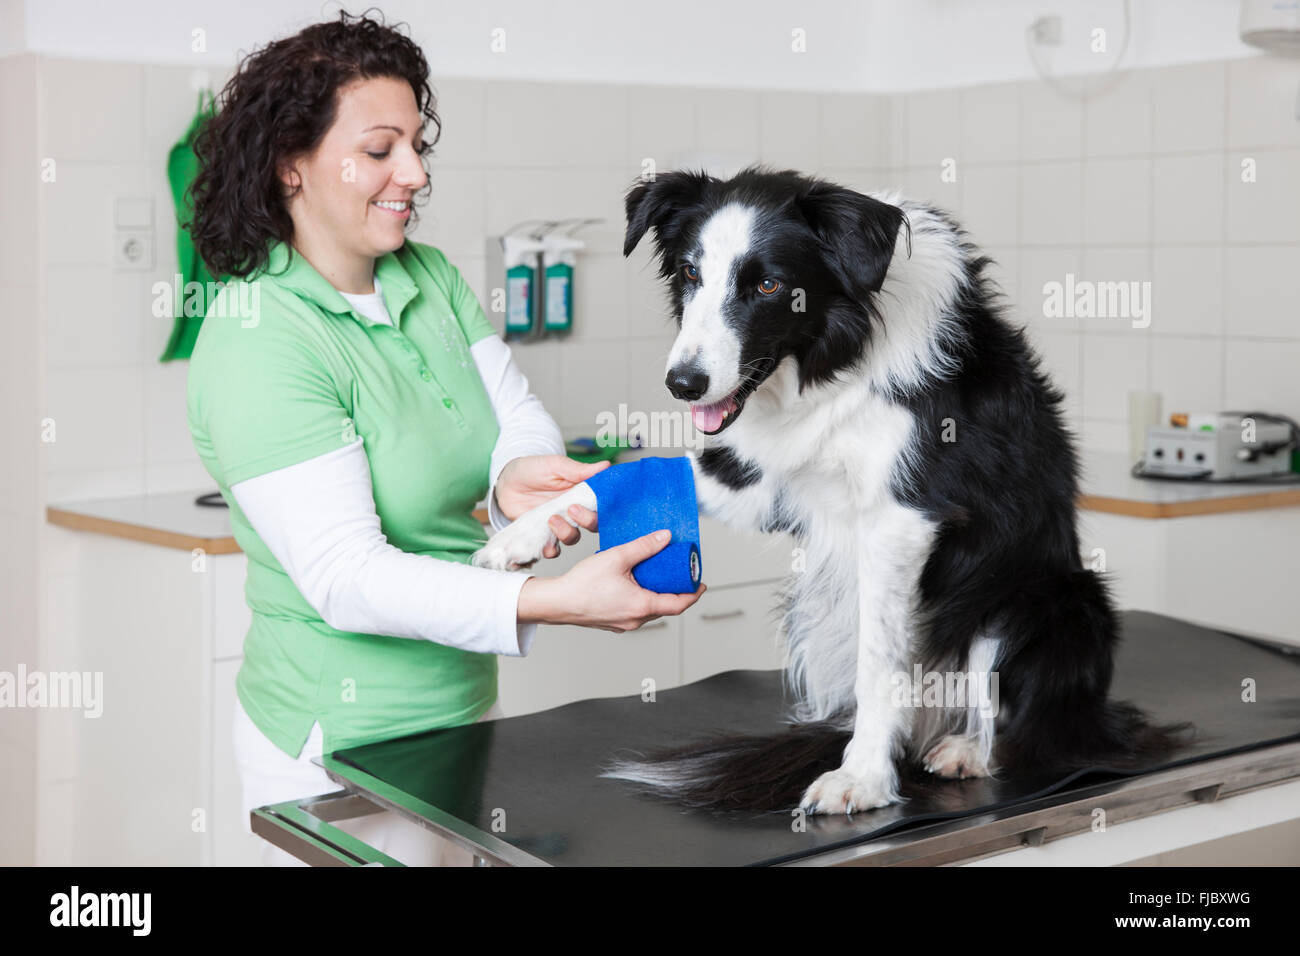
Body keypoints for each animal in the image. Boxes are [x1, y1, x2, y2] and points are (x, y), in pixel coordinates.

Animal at [475, 166, 1190, 816]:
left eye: (768, 285)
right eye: (689, 274)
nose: (682, 384)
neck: (832, 365)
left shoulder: (903, 518)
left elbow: (880, 663)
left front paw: (862, 779)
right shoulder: (758, 478)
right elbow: (618, 474)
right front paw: (519, 537)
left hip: (1046, 601)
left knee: (1018, 726)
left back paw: (962, 752)